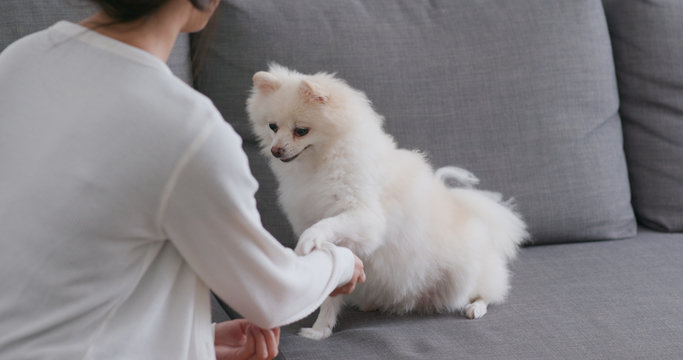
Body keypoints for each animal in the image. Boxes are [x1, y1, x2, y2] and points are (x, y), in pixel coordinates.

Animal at [246, 64, 528, 340]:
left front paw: (307, 241)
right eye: (272, 127)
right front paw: (320, 330)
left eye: (301, 131)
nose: (276, 150)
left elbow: (326, 225)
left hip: (465, 276)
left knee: (488, 292)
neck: (320, 163)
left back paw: (476, 307)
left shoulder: (365, 218)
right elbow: (332, 289)